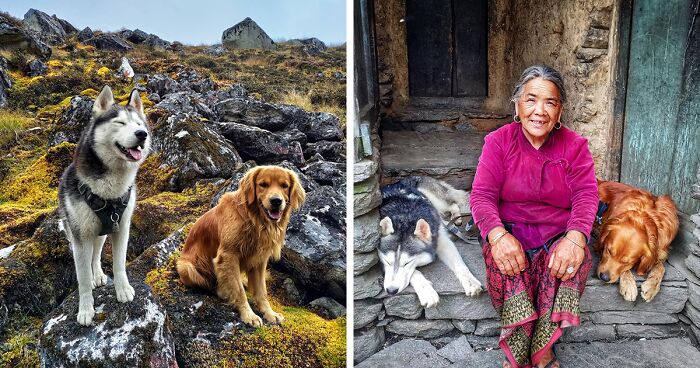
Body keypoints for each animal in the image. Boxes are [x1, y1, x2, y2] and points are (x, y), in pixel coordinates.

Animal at [58, 86, 151, 324]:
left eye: (139, 124)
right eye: (120, 122)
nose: (142, 134)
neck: (109, 193)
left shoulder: (122, 227)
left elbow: (119, 264)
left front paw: (123, 290)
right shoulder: (81, 236)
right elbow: (82, 279)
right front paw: (85, 310)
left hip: (102, 232)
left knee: (96, 254)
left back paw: (98, 274)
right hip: (77, 232)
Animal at [378, 176, 482, 308]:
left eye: (407, 263)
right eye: (387, 262)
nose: (391, 290)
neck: (405, 216)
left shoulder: (443, 241)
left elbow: (459, 264)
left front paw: (471, 282)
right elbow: (415, 272)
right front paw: (427, 292)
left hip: (436, 200)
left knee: (453, 204)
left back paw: (455, 218)